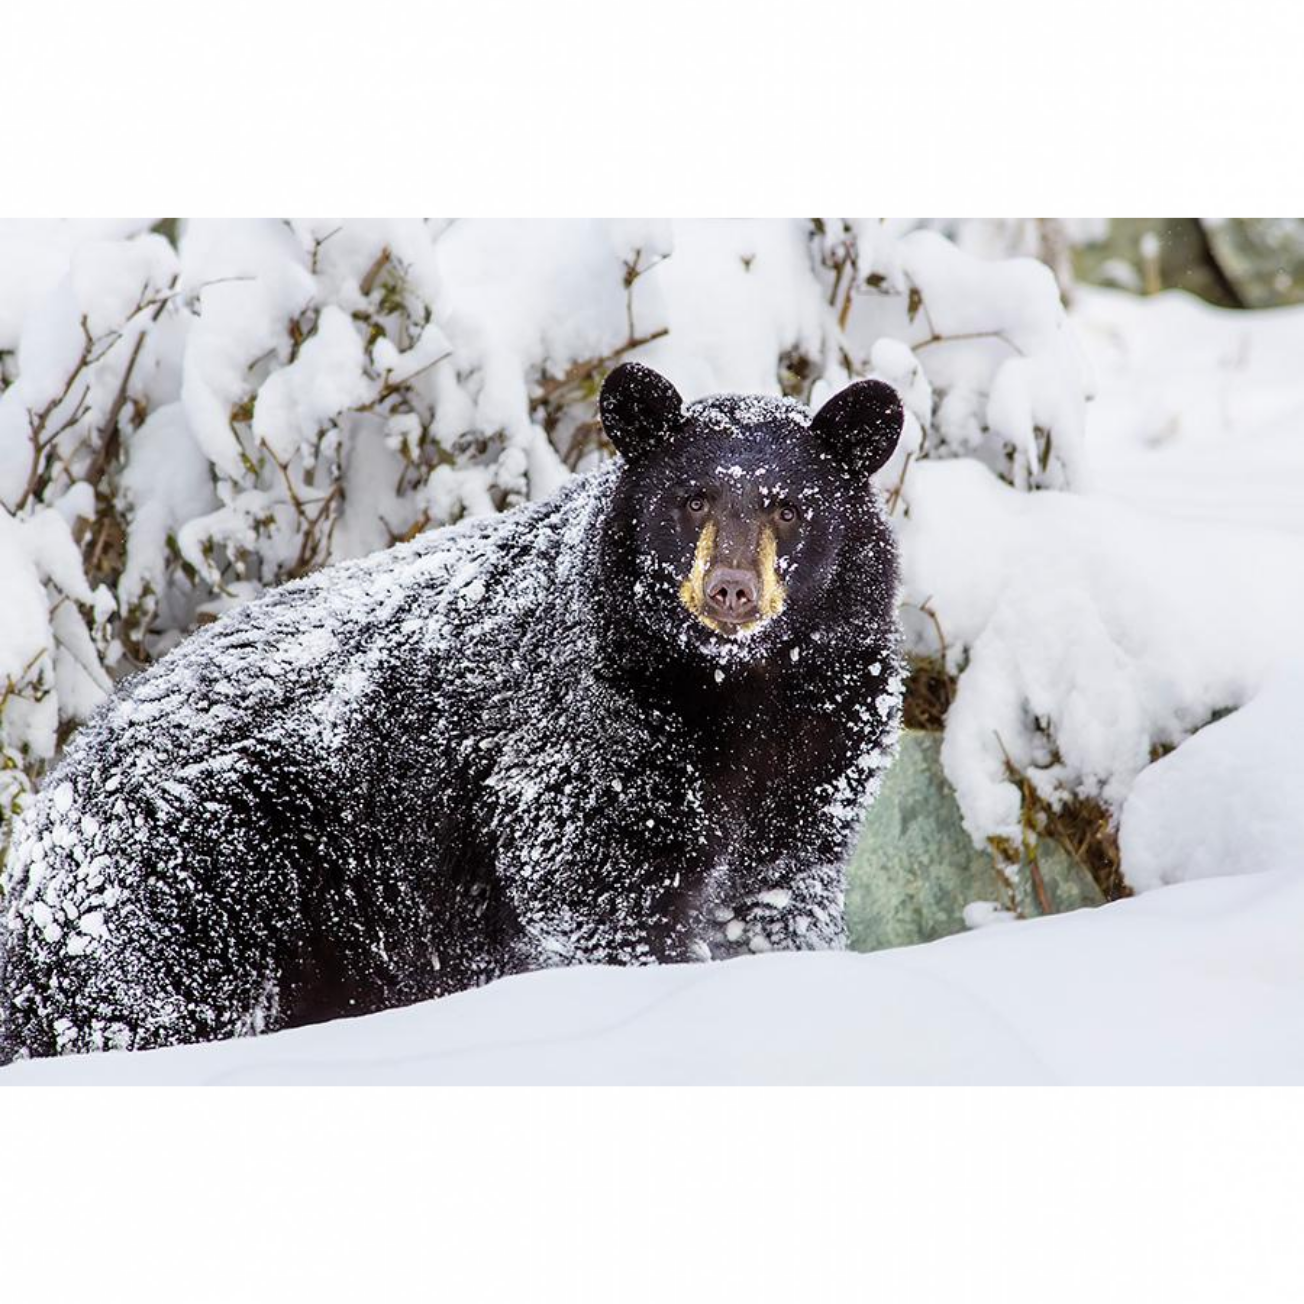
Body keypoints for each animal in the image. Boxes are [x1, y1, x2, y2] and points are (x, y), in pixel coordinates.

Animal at [0, 363, 906, 1061]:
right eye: (691, 499)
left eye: (789, 505)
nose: (731, 591)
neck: (733, 690)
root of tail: (37, 835)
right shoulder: (587, 735)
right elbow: (606, 898)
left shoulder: (823, 745)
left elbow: (779, 897)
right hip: (189, 874)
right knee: (150, 1001)